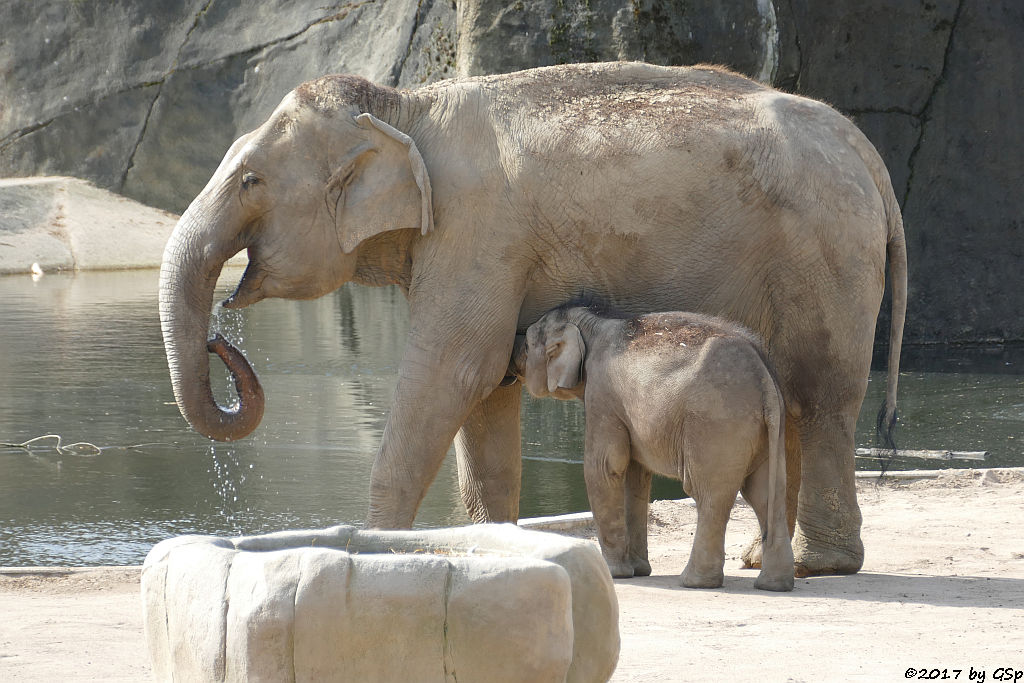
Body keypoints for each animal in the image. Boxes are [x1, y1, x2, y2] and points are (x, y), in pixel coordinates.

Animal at [516, 305, 794, 593]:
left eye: (526, 345)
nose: (514, 363)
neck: (591, 323)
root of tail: (764, 376)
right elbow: (636, 475)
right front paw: (639, 570)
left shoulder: (602, 395)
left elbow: (605, 467)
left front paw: (616, 573)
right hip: (766, 427)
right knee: (765, 494)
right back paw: (774, 584)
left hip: (716, 423)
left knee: (710, 495)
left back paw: (694, 582)